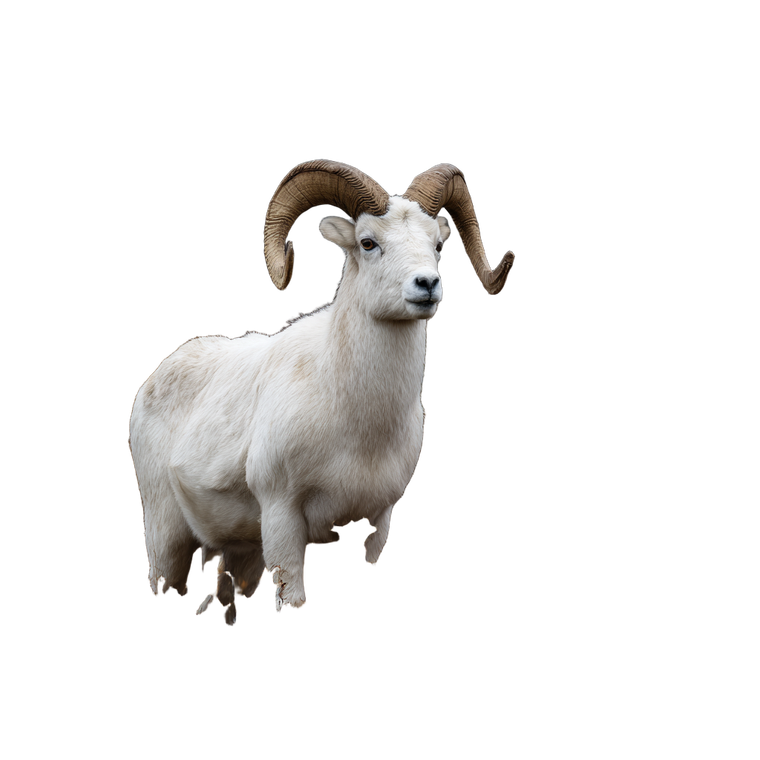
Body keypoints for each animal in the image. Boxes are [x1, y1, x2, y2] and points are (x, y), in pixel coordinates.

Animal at [128, 160, 515, 623]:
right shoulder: (282, 520)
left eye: (436, 245)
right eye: (368, 242)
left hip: (242, 555)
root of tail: (154, 380)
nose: (427, 285)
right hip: (166, 539)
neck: (358, 428)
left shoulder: (377, 522)